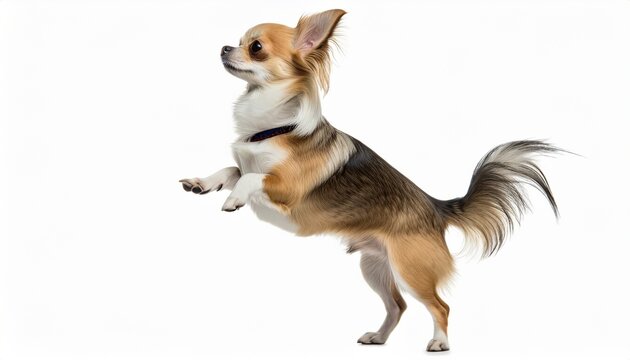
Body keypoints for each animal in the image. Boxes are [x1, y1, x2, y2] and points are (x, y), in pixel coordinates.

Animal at [180, 9, 560, 352]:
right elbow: (233, 170)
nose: (225, 47)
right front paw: (203, 182)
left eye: (256, 47)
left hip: (410, 269)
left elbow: (250, 177)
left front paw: (233, 199)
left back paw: (439, 342)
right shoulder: (247, 165)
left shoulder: (288, 190)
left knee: (440, 306)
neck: (269, 128)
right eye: (240, 40)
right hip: (374, 266)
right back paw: (378, 337)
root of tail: (436, 208)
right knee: (398, 306)